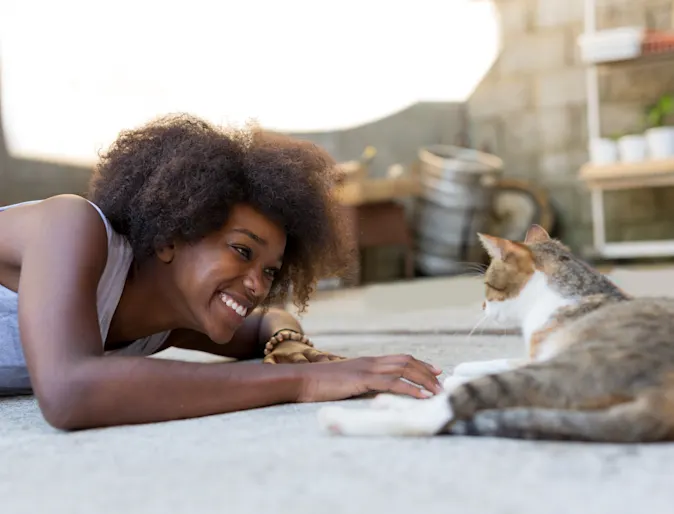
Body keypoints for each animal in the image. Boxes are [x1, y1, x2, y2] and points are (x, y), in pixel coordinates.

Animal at [314, 224, 672, 440]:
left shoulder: (537, 356)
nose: (483, 306)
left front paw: (451, 378)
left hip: (573, 367)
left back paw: (347, 418)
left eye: (488, 285)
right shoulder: (532, 354)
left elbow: (469, 370)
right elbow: (478, 364)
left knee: (443, 413)